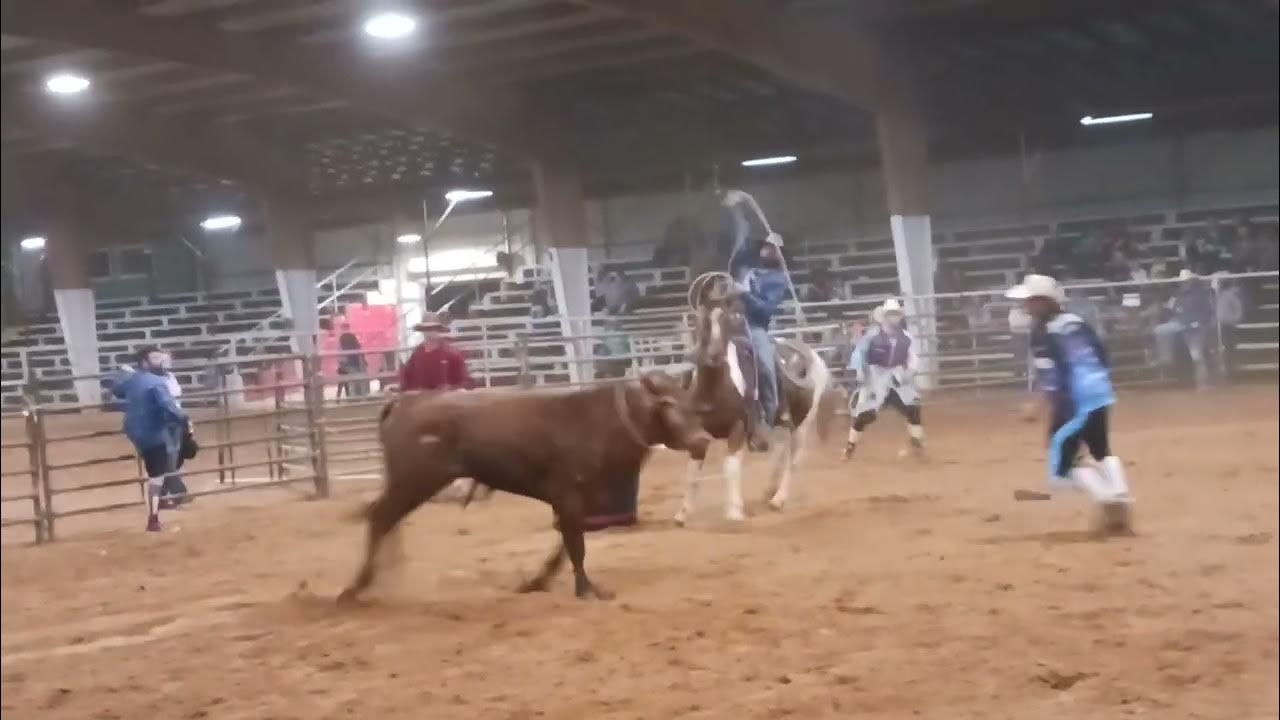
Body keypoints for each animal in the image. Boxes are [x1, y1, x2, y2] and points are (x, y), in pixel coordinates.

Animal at [340, 368, 711, 599]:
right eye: (667, 404)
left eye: (692, 404)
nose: (702, 441)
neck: (603, 421)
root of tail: (406, 401)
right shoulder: (569, 494)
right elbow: (576, 545)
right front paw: (586, 589)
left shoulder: (579, 501)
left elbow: (566, 543)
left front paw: (537, 581)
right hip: (415, 480)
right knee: (380, 517)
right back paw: (356, 586)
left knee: (385, 518)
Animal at [675, 274, 834, 520]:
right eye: (700, 319)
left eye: (728, 319)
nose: (714, 355)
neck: (714, 387)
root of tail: (813, 355)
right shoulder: (698, 431)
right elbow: (692, 473)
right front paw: (683, 514)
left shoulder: (738, 428)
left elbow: (730, 468)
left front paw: (734, 512)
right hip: (779, 423)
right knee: (779, 452)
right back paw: (769, 491)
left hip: (803, 424)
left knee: (793, 461)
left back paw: (778, 500)